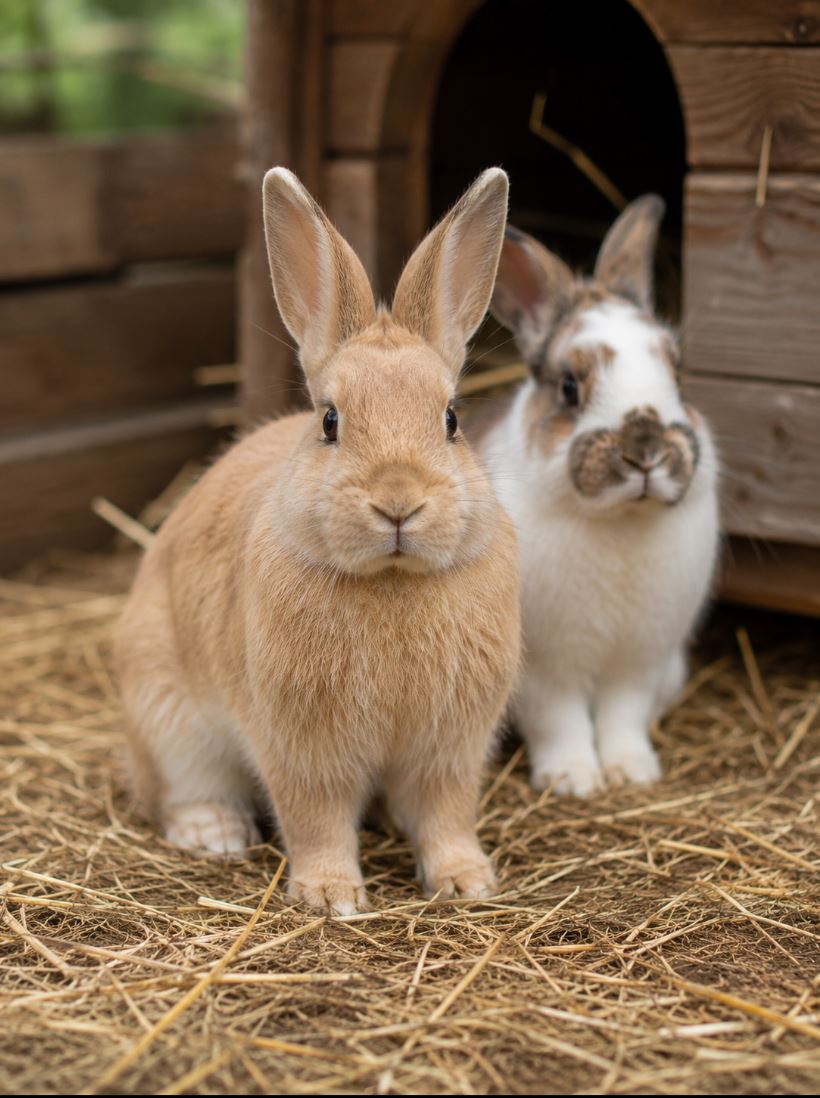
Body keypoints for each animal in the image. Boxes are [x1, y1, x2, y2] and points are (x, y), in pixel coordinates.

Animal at [113, 167, 520, 915]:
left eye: (451, 419)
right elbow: (317, 817)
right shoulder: (302, 746)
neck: (391, 579)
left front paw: (466, 882)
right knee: (174, 791)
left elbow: (446, 813)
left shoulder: (450, 748)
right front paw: (331, 896)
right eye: (330, 421)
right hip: (166, 715)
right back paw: (215, 833)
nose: (398, 501)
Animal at [472, 195, 719, 797]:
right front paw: (573, 779)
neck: (620, 519)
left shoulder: (639, 662)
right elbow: (559, 721)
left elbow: (622, 718)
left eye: (679, 376)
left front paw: (632, 772)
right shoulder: (546, 671)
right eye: (569, 388)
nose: (645, 451)